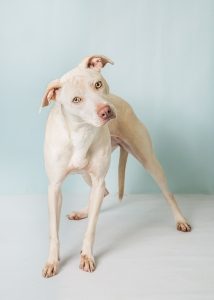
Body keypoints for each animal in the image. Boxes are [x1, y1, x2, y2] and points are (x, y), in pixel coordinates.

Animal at [41, 54, 191, 276]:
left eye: (97, 84)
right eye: (76, 100)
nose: (106, 110)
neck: (80, 133)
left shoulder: (98, 178)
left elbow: (91, 229)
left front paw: (86, 255)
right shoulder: (55, 188)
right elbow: (53, 231)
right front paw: (52, 260)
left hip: (148, 160)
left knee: (168, 194)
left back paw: (180, 220)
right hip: (87, 175)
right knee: (103, 191)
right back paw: (83, 212)